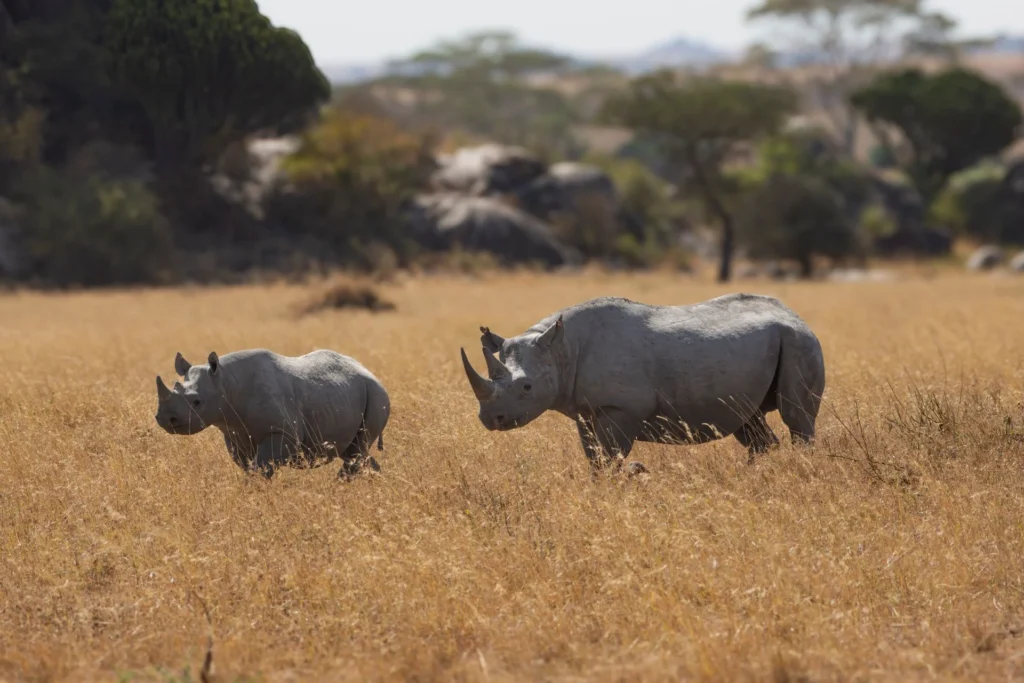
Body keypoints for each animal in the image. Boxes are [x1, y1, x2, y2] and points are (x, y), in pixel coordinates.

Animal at [154, 348, 390, 480]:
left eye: (197, 402)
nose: (165, 419)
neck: (226, 383)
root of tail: (371, 373)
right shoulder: (234, 433)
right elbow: (248, 467)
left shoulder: (281, 432)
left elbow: (261, 467)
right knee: (354, 452)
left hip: (376, 394)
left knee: (358, 450)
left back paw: (340, 485)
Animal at [460, 294, 825, 473]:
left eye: (526, 388)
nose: (491, 420)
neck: (561, 348)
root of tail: (795, 315)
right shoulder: (585, 410)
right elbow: (595, 458)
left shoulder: (622, 408)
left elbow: (611, 456)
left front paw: (630, 473)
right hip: (773, 345)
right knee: (748, 420)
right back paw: (753, 475)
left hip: (799, 341)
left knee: (797, 418)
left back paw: (798, 468)